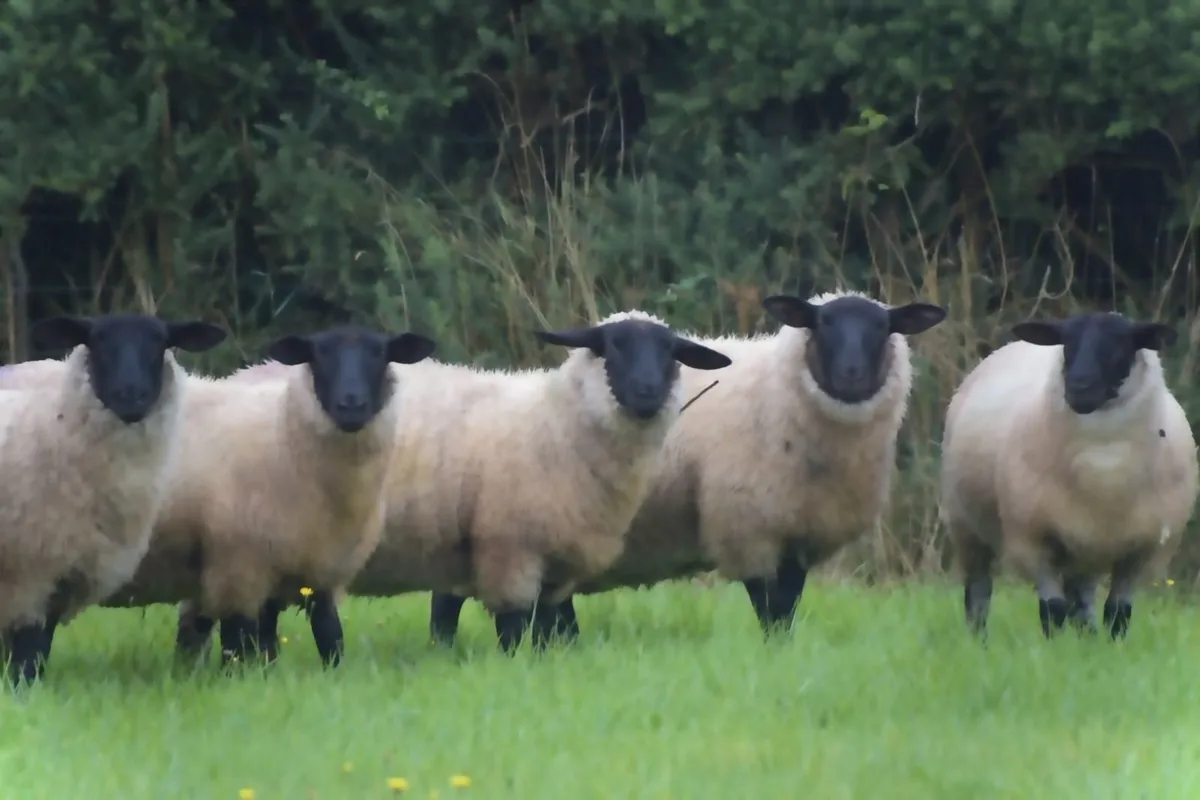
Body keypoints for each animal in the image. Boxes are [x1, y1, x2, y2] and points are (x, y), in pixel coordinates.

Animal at [0, 313, 227, 685]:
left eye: (160, 342)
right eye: (98, 341)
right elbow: (28, 655)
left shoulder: (60, 575)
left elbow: (37, 649)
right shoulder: (29, 573)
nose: (131, 395)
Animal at [101, 324, 438, 669]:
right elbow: (239, 639)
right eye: (319, 355)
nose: (351, 404)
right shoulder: (239, 565)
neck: (284, 439)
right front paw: (241, 674)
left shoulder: (319, 565)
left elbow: (328, 632)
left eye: (380, 353)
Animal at [311, 309, 734, 655]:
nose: (648, 392)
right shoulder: (508, 546)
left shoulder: (556, 558)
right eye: (613, 346)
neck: (555, 423)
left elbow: (548, 623)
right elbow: (512, 625)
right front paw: (513, 664)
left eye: (670, 352)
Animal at [428, 291, 948, 644]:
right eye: (821, 324)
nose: (851, 376)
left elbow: (788, 607)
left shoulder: (796, 534)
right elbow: (769, 608)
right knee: (450, 604)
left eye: (882, 328)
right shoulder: (747, 526)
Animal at [941, 311, 1198, 639]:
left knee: (1083, 603)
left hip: (1087, 549)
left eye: (1121, 342)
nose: (1079, 387)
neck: (1104, 463)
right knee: (978, 592)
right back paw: (979, 640)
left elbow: (1118, 613)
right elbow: (1052, 612)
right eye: (1067, 344)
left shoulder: (1143, 551)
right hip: (966, 527)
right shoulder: (1033, 539)